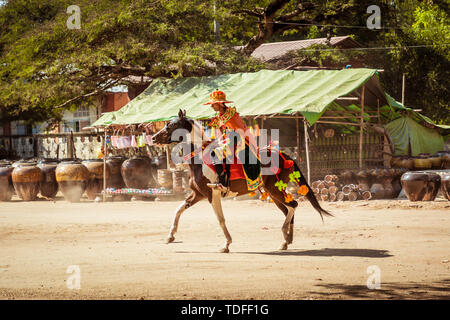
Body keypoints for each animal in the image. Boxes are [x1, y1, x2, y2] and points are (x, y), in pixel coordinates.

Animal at [153, 109, 332, 252]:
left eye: (170, 125)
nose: (153, 138)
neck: (200, 160)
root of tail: (285, 155)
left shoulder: (213, 194)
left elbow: (220, 219)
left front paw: (226, 244)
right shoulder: (198, 194)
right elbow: (178, 209)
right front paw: (170, 236)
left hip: (275, 190)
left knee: (293, 205)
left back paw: (285, 235)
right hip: (274, 193)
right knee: (288, 209)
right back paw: (287, 241)